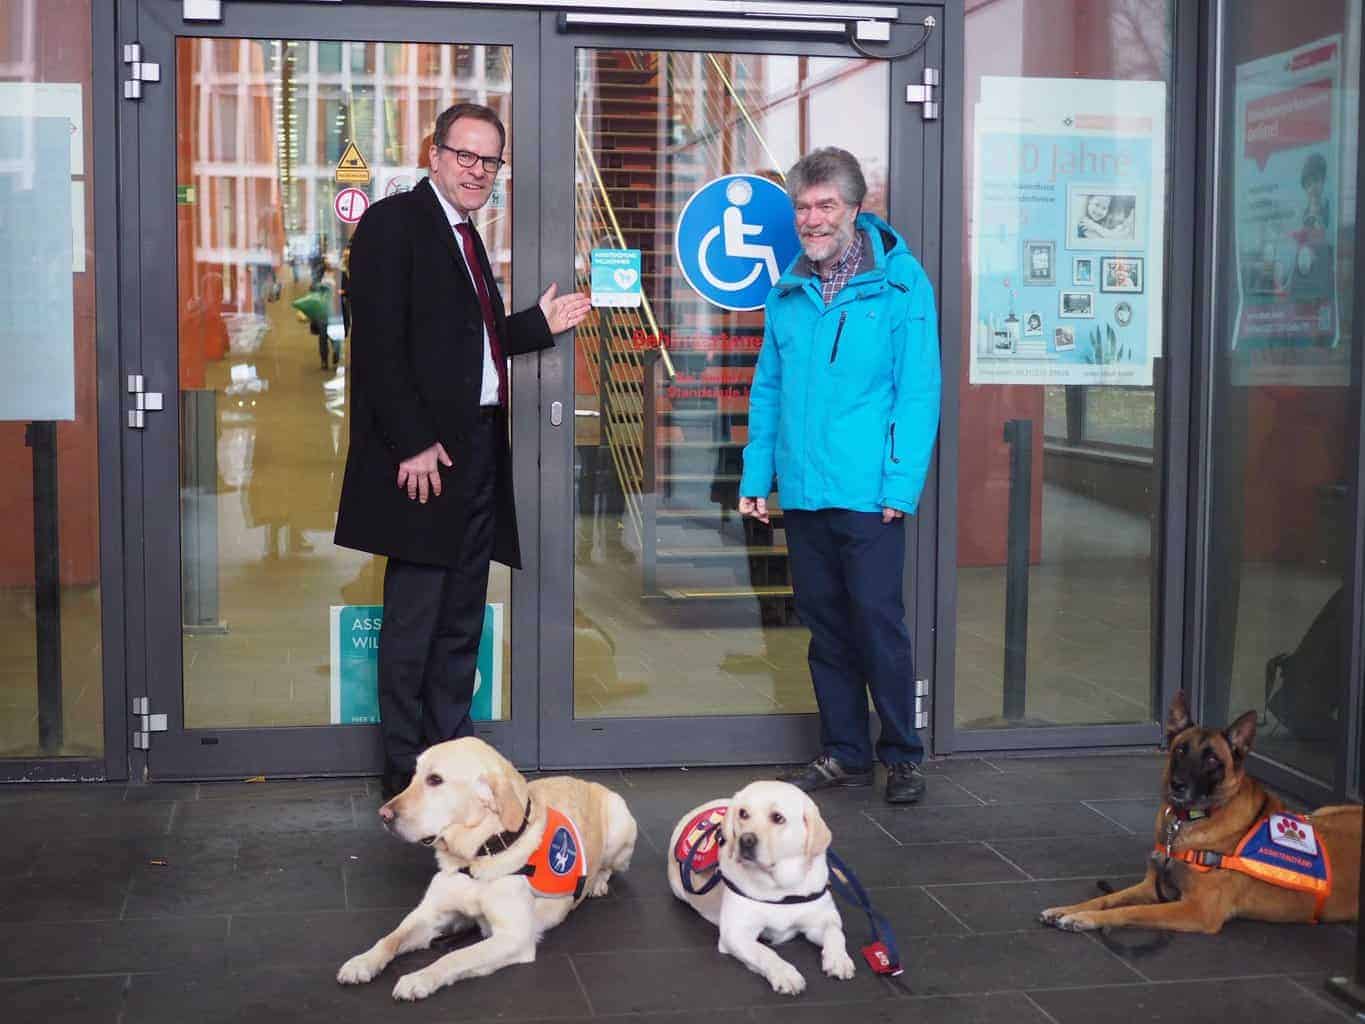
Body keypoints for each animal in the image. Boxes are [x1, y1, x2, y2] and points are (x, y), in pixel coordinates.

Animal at [341, 737, 638, 1004]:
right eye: (414, 776)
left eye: (435, 780)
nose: (383, 815)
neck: (475, 858)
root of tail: (587, 781)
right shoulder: (429, 914)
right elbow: (391, 938)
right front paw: (362, 961)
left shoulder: (513, 937)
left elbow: (455, 956)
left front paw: (419, 978)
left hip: (620, 821)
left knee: (611, 867)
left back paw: (597, 882)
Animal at [663, 780, 846, 999]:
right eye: (743, 813)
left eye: (778, 818)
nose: (746, 840)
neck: (780, 889)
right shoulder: (736, 933)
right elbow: (766, 952)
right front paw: (786, 974)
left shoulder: (822, 919)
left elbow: (836, 933)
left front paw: (839, 959)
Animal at [1042, 693, 1354, 933]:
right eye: (1180, 750)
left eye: (1212, 760)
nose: (1177, 784)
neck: (1188, 822)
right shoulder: (1151, 886)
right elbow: (1108, 898)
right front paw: (1069, 909)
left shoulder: (1197, 910)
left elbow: (1132, 910)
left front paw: (1087, 918)